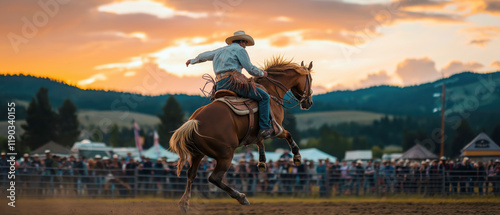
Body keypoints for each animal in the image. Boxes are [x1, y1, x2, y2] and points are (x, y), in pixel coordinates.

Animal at [171, 57, 312, 213]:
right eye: (310, 79)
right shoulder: (277, 129)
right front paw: (297, 157)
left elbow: (260, 141)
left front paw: (262, 162)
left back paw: (184, 204)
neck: (271, 92)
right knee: (214, 178)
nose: (309, 102)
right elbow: (288, 135)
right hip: (225, 155)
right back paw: (241, 197)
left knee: (191, 174)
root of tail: (194, 121)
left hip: (197, 154)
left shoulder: (258, 133)